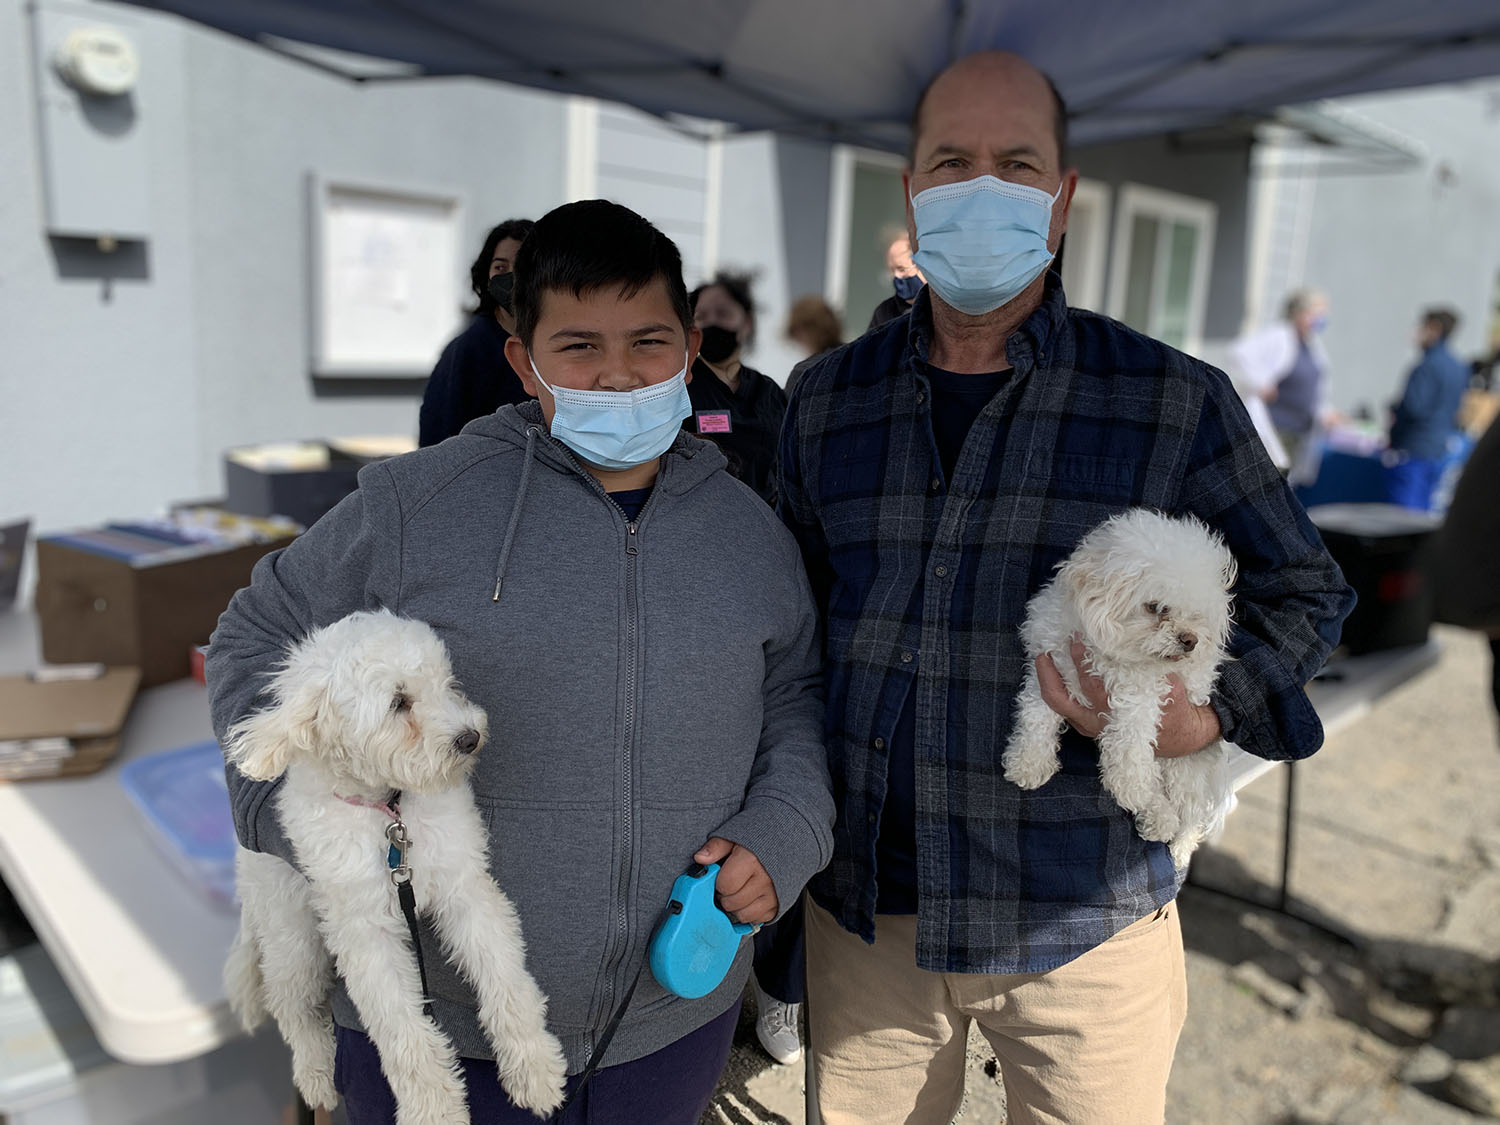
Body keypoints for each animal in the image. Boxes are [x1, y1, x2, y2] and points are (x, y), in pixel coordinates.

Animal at [222, 612, 567, 1122]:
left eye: (447, 682)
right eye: (399, 702)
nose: (470, 737)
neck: (390, 813)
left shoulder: (465, 888)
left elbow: (507, 982)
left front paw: (535, 1068)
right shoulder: (365, 933)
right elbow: (403, 1033)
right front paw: (435, 1110)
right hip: (292, 936)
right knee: (292, 1007)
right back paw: (315, 1074)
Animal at [1002, 510, 1236, 870]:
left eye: (1196, 614)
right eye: (1155, 607)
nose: (1190, 640)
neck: (1107, 654)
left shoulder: (1144, 692)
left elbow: (1131, 736)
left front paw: (1129, 783)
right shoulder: (1049, 665)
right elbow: (1036, 716)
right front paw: (1028, 762)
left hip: (1186, 762)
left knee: (1191, 812)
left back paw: (1180, 845)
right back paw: (1159, 819)